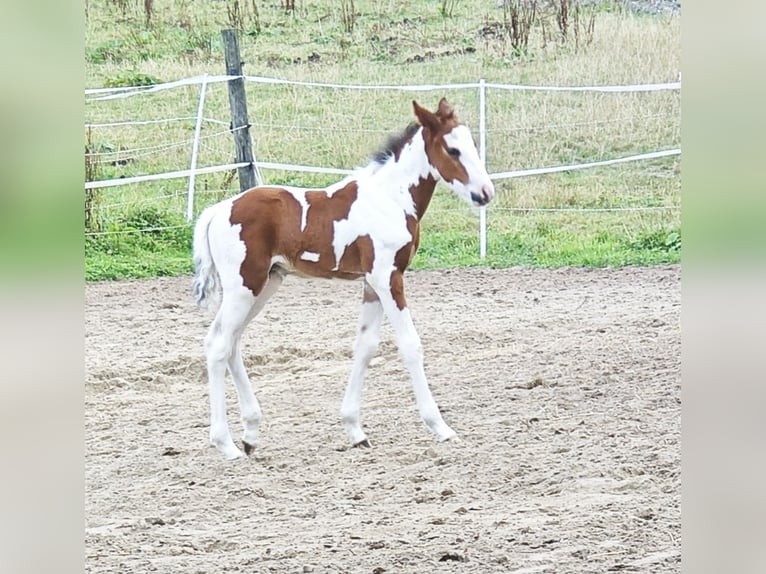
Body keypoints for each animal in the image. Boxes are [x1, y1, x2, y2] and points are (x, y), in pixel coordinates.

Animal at [194, 98, 498, 460]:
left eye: (473, 145)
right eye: (452, 150)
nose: (485, 193)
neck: (390, 198)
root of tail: (217, 211)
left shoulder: (371, 283)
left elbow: (365, 346)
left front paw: (355, 430)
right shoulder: (388, 277)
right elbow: (410, 344)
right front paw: (440, 427)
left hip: (266, 284)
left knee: (233, 342)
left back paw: (251, 433)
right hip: (245, 286)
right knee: (217, 343)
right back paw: (226, 445)